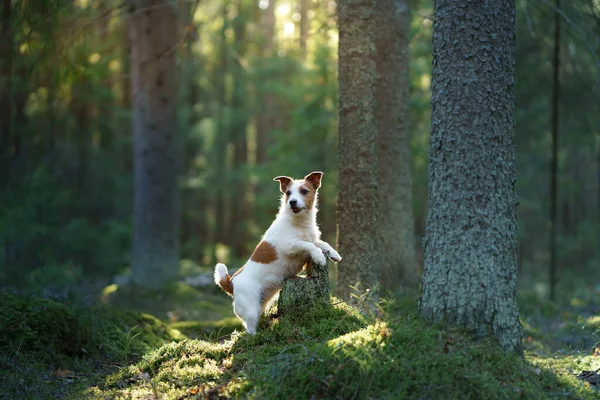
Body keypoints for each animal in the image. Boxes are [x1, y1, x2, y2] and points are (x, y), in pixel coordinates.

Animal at [213, 171, 340, 334]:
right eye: (288, 193)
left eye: (304, 191)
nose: (292, 202)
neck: (298, 223)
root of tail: (231, 283)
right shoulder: (290, 245)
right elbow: (308, 245)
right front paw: (319, 257)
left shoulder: (313, 239)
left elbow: (322, 243)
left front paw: (334, 254)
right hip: (251, 309)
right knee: (249, 330)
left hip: (262, 304)